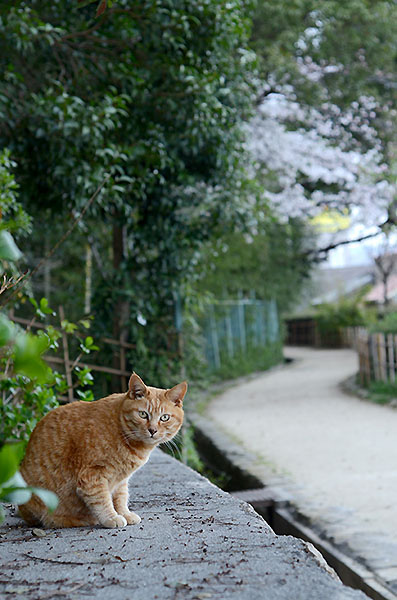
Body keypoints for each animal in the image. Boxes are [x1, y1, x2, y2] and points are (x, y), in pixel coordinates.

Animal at [18, 372, 186, 528]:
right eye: (143, 414)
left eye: (164, 417)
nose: (152, 430)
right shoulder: (92, 475)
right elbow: (101, 499)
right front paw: (112, 517)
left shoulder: (120, 480)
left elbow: (120, 498)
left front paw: (124, 513)